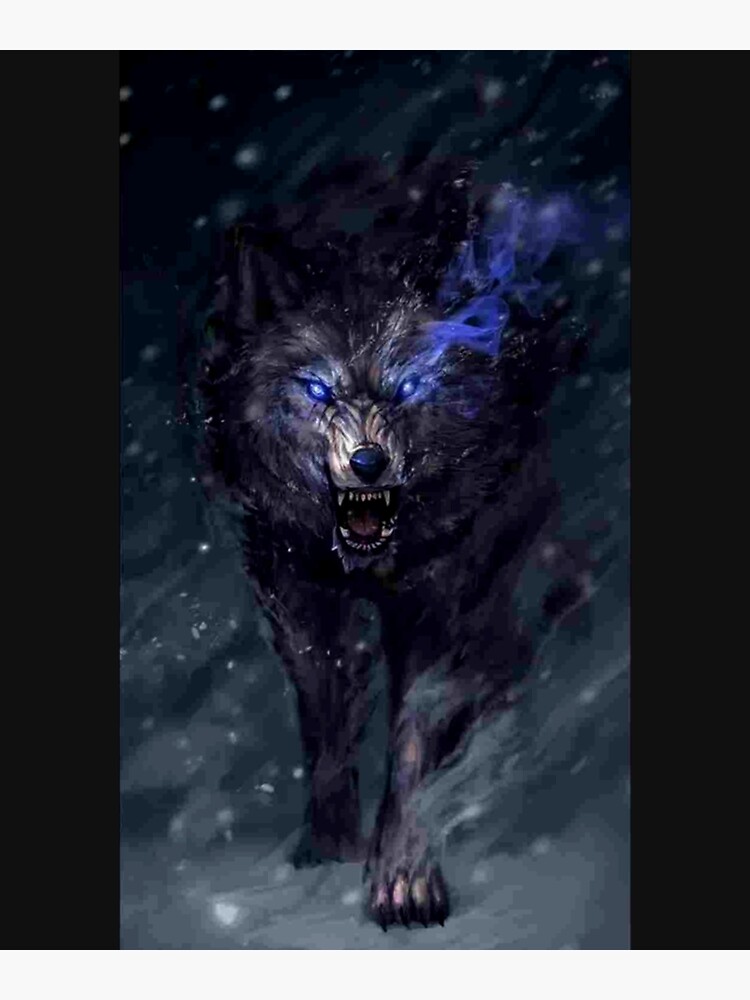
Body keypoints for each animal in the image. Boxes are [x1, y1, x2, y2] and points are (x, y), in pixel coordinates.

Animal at [197, 160, 588, 929]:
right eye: (318, 390)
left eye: (410, 386)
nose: (369, 462)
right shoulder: (293, 584)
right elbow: (323, 716)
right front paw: (328, 841)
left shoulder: (447, 584)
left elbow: (415, 725)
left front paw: (402, 876)